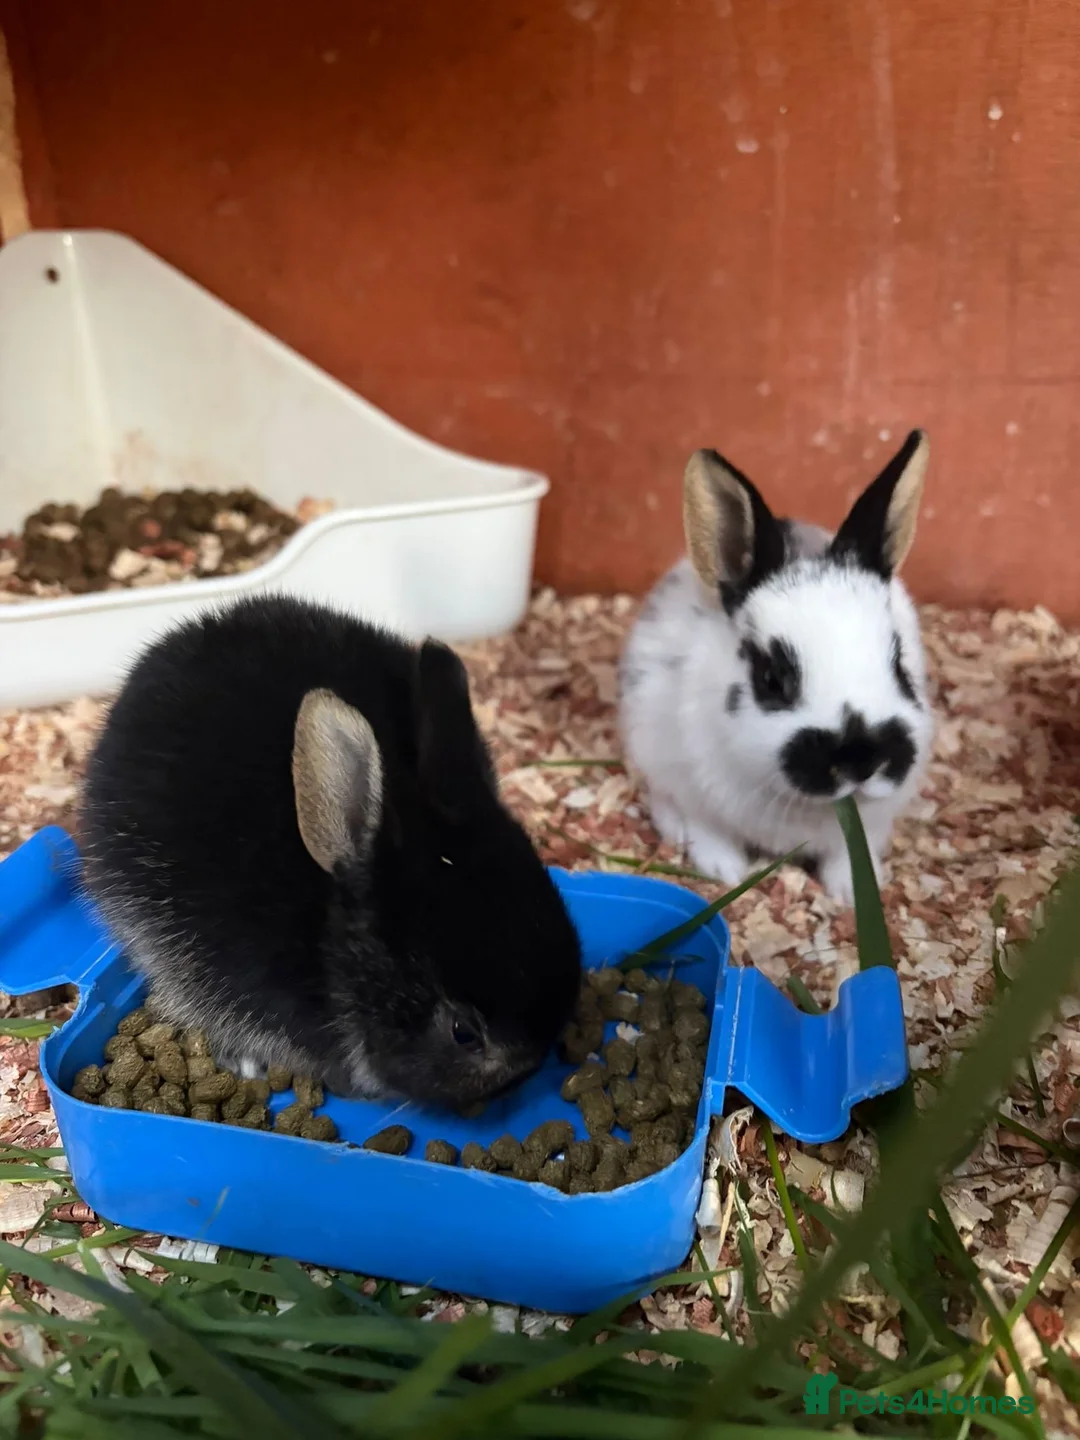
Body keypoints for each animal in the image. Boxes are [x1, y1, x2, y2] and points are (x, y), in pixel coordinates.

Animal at [618, 430, 934, 905]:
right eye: (772, 680)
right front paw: (726, 871)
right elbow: (709, 833)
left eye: (899, 665)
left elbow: (846, 856)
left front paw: (854, 892)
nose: (862, 760)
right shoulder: (695, 790)